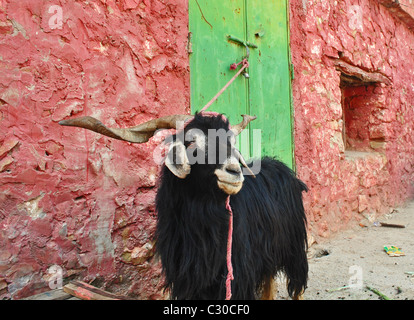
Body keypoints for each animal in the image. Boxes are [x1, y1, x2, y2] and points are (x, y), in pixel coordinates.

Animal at [59, 111, 308, 298]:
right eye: (191, 142)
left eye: (230, 142)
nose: (234, 172)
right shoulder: (187, 278)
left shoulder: (237, 274)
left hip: (294, 248)